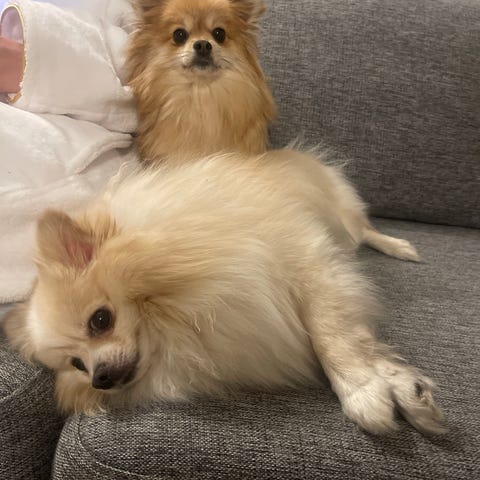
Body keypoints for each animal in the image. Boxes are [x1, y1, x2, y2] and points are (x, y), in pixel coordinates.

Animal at [3, 149, 446, 435]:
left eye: (100, 320)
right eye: (77, 364)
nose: (102, 379)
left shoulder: (309, 262)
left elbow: (333, 336)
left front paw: (361, 391)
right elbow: (365, 343)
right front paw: (406, 390)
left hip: (343, 212)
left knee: (364, 230)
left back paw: (398, 246)